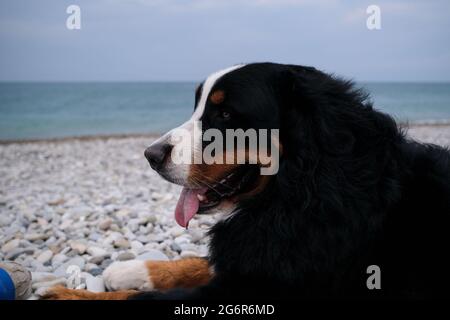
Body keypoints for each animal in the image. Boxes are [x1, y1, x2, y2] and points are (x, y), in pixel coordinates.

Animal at [44, 62, 450, 300]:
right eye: (198, 107)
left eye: (224, 114)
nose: (151, 154)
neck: (304, 188)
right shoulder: (260, 249)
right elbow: (197, 261)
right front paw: (132, 269)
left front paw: (67, 294)